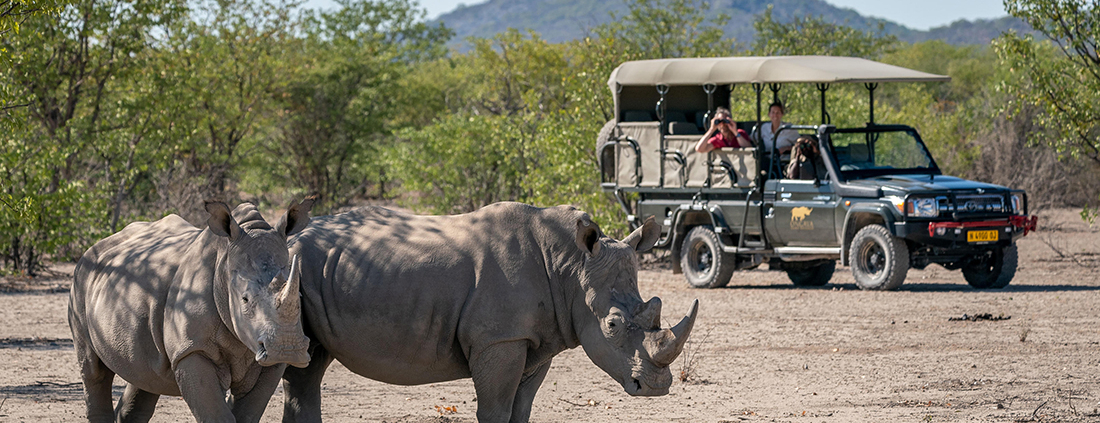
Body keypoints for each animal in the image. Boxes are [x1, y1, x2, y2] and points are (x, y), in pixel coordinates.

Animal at [67, 198, 314, 421]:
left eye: (300, 297)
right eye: (244, 299)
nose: (287, 349)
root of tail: (97, 245)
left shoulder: (269, 362)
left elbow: (248, 413)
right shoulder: (192, 349)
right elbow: (216, 416)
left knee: (146, 375)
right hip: (81, 278)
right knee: (93, 371)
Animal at [281, 202, 695, 421]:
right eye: (612, 324)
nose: (656, 387)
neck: (571, 268)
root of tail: (289, 236)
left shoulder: (535, 340)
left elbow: (520, 410)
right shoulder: (499, 339)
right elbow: (495, 410)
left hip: (311, 274)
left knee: (308, 368)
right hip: (293, 271)